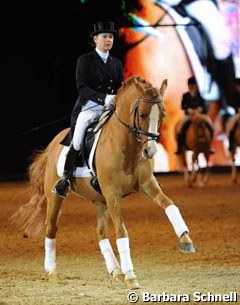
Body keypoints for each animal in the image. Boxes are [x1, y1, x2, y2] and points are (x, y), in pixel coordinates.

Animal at [11, 75, 195, 288]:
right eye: (142, 114)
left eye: (162, 115)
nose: (150, 151)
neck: (127, 146)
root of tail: (53, 144)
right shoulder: (112, 194)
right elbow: (121, 231)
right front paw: (131, 275)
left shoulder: (146, 185)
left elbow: (169, 204)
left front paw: (186, 240)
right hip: (55, 195)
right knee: (51, 228)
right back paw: (52, 271)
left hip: (99, 200)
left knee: (100, 233)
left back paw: (115, 270)